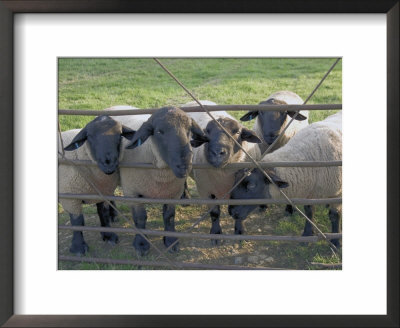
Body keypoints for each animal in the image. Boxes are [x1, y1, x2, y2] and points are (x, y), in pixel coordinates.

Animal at [57, 116, 136, 256]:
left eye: (119, 135)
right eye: (89, 136)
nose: (109, 163)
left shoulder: (102, 191)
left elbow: (103, 213)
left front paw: (109, 236)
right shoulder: (70, 197)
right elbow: (77, 221)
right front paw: (78, 247)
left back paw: (113, 215)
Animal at [118, 106, 206, 255]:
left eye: (189, 129)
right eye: (159, 131)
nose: (184, 165)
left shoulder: (172, 193)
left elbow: (169, 216)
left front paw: (170, 241)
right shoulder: (132, 193)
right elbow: (140, 218)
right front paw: (141, 245)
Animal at [190, 107, 264, 243]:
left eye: (238, 132)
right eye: (206, 133)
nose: (217, 153)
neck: (223, 176)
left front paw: (240, 231)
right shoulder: (206, 192)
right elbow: (214, 213)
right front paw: (216, 234)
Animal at [228, 111, 340, 246]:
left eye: (251, 186)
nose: (231, 212)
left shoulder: (336, 193)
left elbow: (334, 215)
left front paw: (336, 241)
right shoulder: (309, 192)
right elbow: (309, 212)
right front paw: (307, 234)